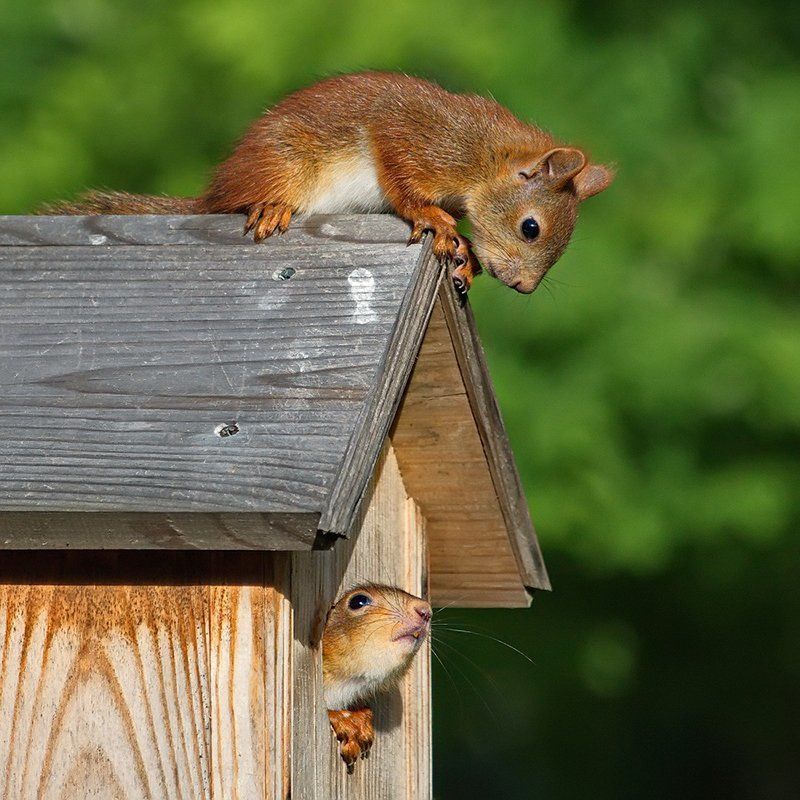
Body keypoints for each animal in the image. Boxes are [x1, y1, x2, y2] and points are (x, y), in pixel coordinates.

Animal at [44, 71, 614, 295]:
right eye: (531, 228)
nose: (523, 287)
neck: (481, 157)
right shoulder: (414, 137)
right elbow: (401, 181)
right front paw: (431, 217)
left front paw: (468, 258)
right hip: (286, 163)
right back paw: (268, 206)